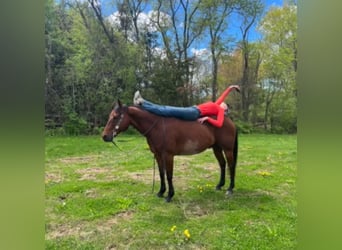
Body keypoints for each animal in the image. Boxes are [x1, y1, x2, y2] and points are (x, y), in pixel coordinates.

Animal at [101, 99, 238, 201]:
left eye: (115, 117)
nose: (105, 136)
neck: (157, 127)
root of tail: (229, 121)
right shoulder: (157, 155)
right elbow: (161, 173)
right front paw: (161, 192)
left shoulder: (168, 155)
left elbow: (169, 175)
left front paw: (169, 195)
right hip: (216, 148)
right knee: (222, 164)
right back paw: (220, 185)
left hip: (227, 149)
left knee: (231, 166)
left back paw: (230, 189)